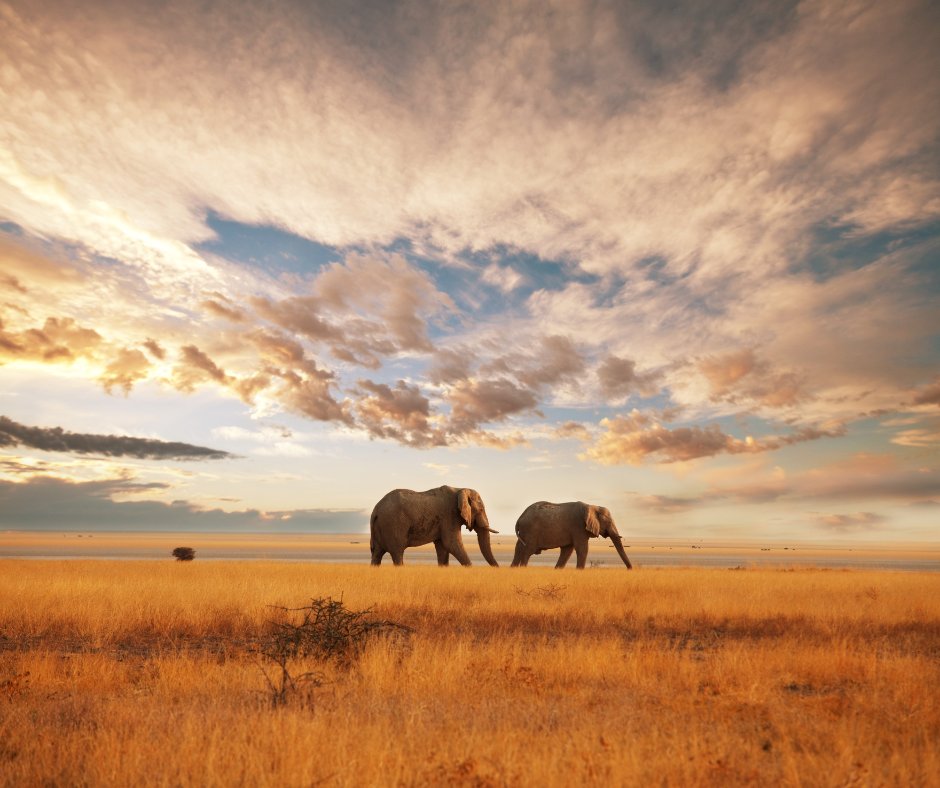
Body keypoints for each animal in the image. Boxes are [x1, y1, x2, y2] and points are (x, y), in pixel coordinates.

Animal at [369, 485, 499, 566]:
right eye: (481, 510)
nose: (497, 568)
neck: (460, 489)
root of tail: (376, 510)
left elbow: (443, 547)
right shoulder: (449, 516)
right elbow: (451, 543)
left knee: (376, 553)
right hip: (393, 525)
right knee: (397, 553)